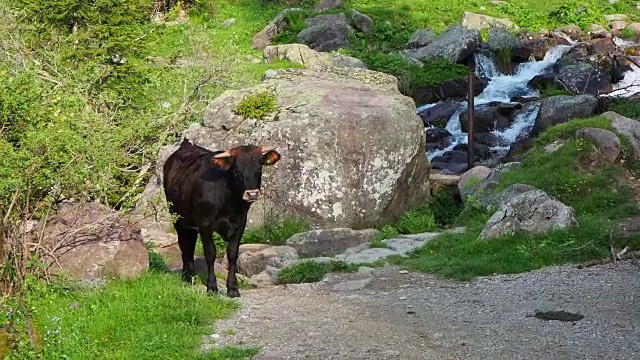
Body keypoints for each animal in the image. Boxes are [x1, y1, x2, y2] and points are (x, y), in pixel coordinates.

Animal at [162, 139, 280, 298]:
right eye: (236, 171)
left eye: (259, 168)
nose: (252, 194)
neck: (229, 202)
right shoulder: (205, 223)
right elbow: (210, 252)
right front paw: (212, 287)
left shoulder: (239, 223)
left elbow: (232, 254)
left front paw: (233, 288)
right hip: (178, 219)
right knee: (184, 245)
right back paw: (187, 277)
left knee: (190, 244)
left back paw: (191, 276)